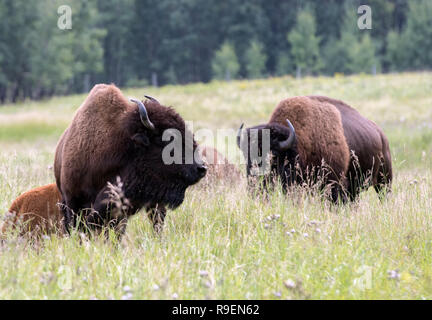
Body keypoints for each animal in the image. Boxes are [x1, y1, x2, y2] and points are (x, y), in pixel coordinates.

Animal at [238, 95, 394, 201]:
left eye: (274, 155)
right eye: (246, 156)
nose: (254, 184)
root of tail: (381, 135)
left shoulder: (334, 183)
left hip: (384, 180)